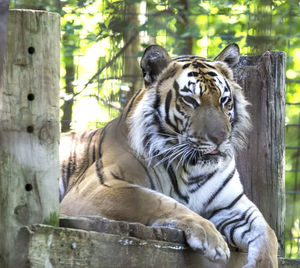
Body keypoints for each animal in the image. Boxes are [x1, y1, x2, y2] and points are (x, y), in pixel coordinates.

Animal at [59, 44, 278, 268]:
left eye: (224, 100)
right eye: (190, 100)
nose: (221, 138)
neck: (191, 169)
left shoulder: (231, 204)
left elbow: (268, 232)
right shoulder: (96, 186)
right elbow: (160, 201)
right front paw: (211, 237)